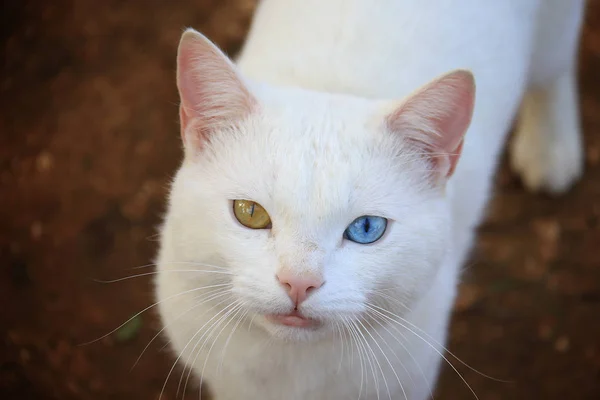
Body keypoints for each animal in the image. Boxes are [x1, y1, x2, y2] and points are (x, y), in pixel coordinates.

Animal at [155, 1, 584, 398]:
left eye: (366, 228)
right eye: (250, 213)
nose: (299, 282)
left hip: (552, 34)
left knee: (554, 70)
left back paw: (551, 148)